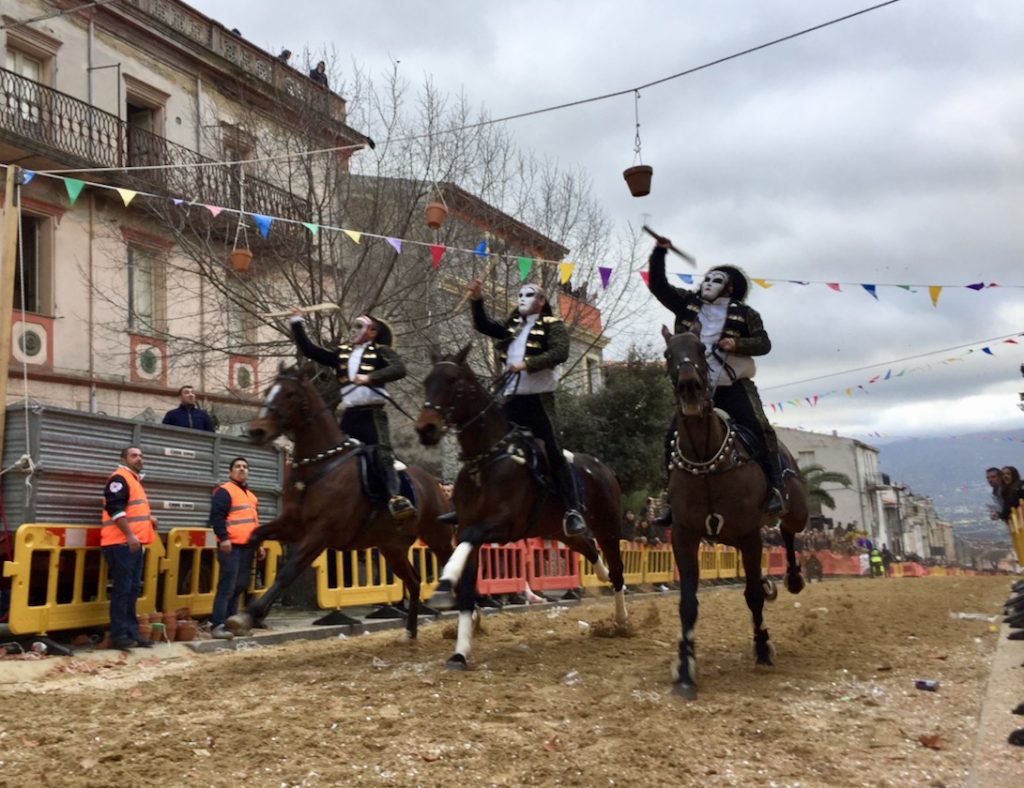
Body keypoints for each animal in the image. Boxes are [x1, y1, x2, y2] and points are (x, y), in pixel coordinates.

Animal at [232, 362, 456, 638]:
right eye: (267, 391)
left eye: (290, 394)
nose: (257, 430)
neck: (320, 465)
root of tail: (434, 484)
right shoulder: (293, 526)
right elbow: (254, 536)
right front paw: (242, 596)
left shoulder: (319, 534)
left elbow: (287, 572)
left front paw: (251, 613)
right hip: (391, 546)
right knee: (414, 582)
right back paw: (410, 633)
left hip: (438, 538)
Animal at [413, 347, 622, 667]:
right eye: (426, 381)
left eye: (452, 381)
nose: (426, 428)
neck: (487, 461)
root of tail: (603, 469)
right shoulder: (468, 528)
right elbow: (466, 592)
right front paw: (460, 652)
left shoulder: (501, 527)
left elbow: (469, 541)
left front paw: (445, 583)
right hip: (559, 531)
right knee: (588, 546)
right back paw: (601, 575)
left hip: (608, 527)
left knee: (618, 570)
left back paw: (623, 622)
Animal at [663, 325, 806, 699]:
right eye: (668, 354)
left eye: (702, 349)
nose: (689, 388)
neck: (706, 461)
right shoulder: (684, 535)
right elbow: (688, 602)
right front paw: (685, 669)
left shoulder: (749, 534)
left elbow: (754, 595)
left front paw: (762, 647)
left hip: (795, 512)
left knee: (788, 531)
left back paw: (794, 577)